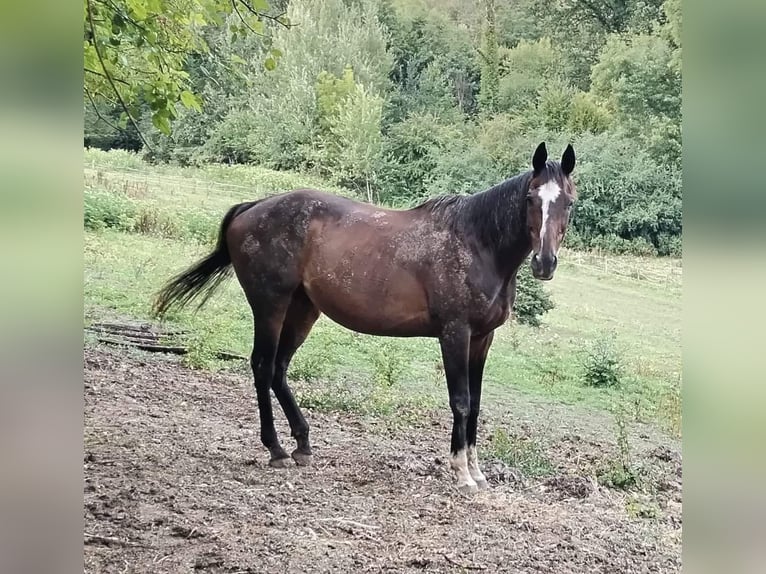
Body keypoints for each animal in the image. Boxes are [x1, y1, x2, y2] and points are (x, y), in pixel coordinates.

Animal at [154, 143, 576, 496]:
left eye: (568, 202)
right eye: (531, 198)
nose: (544, 263)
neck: (477, 244)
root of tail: (253, 206)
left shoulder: (482, 339)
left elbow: (476, 405)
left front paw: (477, 471)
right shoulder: (455, 333)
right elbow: (461, 402)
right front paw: (462, 474)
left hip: (303, 310)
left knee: (278, 368)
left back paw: (302, 444)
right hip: (270, 306)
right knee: (262, 365)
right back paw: (276, 449)